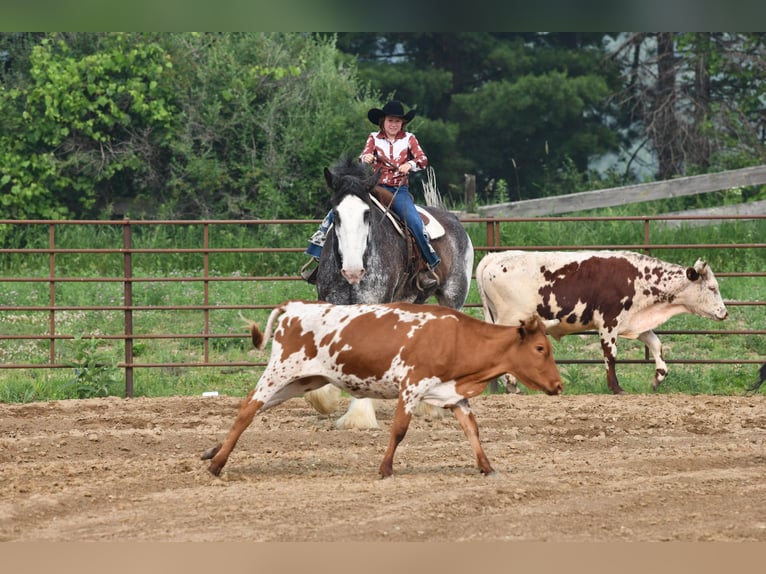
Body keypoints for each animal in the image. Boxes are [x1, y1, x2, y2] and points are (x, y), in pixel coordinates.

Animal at [202, 300, 564, 480]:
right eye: (541, 349)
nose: (559, 385)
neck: (456, 337)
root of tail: (294, 306)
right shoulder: (411, 387)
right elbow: (399, 430)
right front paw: (385, 469)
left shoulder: (454, 394)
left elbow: (472, 429)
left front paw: (487, 467)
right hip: (280, 371)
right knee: (248, 408)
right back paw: (216, 465)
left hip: (302, 381)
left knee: (254, 410)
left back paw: (212, 452)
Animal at [304, 155, 474, 430]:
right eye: (335, 214)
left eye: (367, 214)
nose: (353, 271)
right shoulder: (331, 302)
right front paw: (323, 399)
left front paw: (358, 416)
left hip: (453, 297)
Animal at [476, 251, 728, 396]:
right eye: (712, 288)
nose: (724, 313)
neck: (639, 278)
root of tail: (493, 257)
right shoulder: (609, 322)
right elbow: (610, 355)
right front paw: (616, 388)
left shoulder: (635, 322)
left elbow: (656, 345)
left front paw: (657, 378)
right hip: (510, 317)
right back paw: (512, 385)